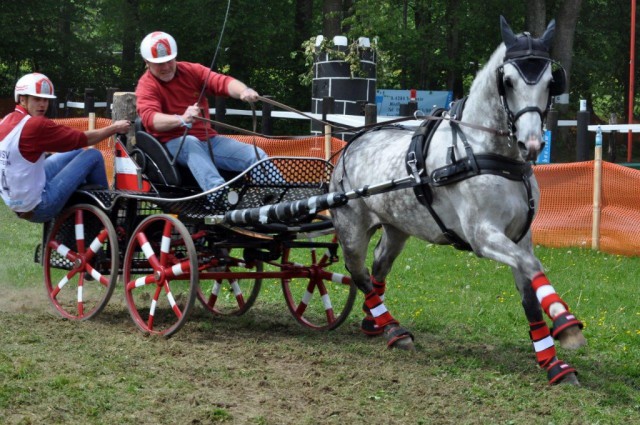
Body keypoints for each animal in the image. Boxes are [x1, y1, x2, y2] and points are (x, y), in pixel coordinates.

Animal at [330, 16, 584, 384]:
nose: (533, 144)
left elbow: (529, 292)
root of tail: (350, 145)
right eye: (507, 81)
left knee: (379, 267)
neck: (485, 151)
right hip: (351, 230)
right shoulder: (482, 235)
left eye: (552, 81)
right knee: (359, 273)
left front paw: (553, 363)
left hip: (397, 228)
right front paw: (566, 325)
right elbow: (535, 267)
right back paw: (393, 329)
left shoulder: (520, 237)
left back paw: (374, 319)